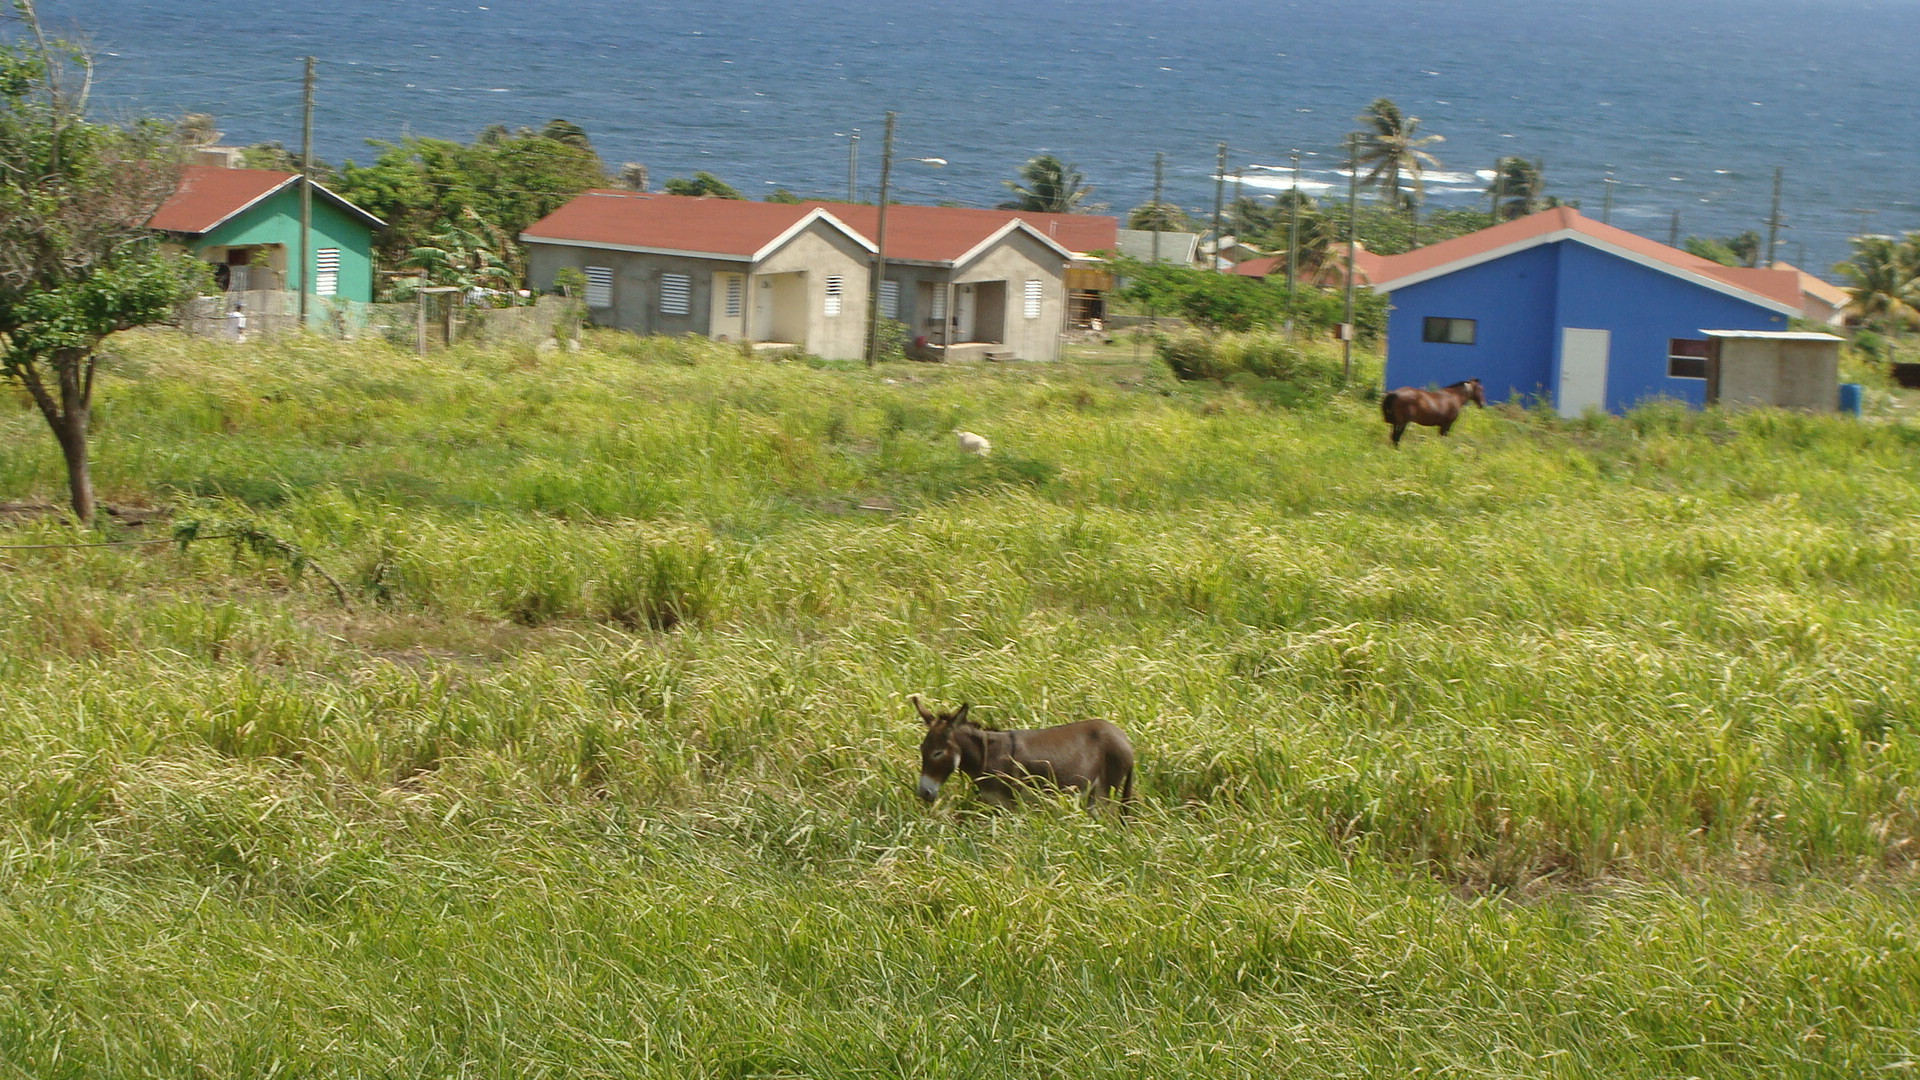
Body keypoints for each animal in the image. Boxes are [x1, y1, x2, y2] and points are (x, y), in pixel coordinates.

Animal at [910, 691, 1128, 803]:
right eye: (921, 750)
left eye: (938, 752)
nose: (924, 793)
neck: (986, 756)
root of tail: (1122, 735)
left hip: (1104, 792)